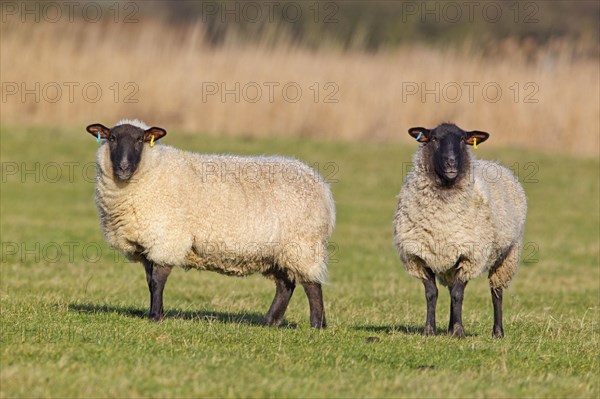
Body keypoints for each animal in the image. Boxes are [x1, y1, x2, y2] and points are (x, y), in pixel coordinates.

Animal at [86, 120, 336, 330]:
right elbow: (150, 281)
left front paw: (156, 316)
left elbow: (157, 280)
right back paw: (269, 322)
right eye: (112, 138)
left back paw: (317, 325)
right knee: (286, 285)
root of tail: (321, 186)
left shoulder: (166, 239)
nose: (123, 167)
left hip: (303, 244)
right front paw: (156, 313)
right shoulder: (148, 242)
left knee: (312, 285)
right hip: (277, 251)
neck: (151, 172)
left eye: (140, 140)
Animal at [394, 122, 524, 338]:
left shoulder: (470, 255)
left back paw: (497, 332)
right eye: (434, 138)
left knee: (496, 292)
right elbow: (431, 294)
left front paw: (458, 331)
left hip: (507, 255)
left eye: (463, 139)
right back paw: (448, 328)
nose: (451, 163)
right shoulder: (418, 256)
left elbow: (457, 295)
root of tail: (494, 163)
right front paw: (430, 330)